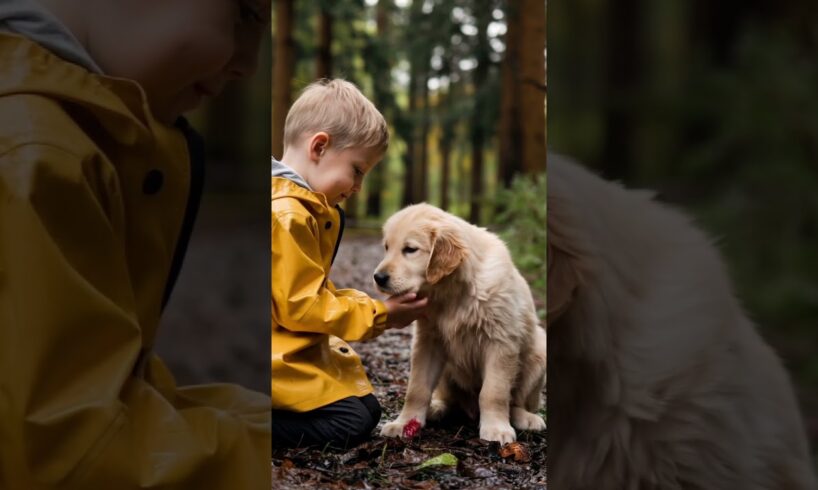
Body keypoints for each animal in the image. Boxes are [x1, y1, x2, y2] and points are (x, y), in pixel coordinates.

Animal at [376, 203, 548, 444]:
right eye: (386, 247)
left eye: (410, 249)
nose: (378, 277)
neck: (451, 294)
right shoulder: (428, 342)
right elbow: (417, 388)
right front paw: (404, 422)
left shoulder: (501, 342)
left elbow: (493, 392)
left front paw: (496, 428)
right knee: (450, 401)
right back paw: (436, 408)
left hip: (539, 352)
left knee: (516, 403)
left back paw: (526, 418)